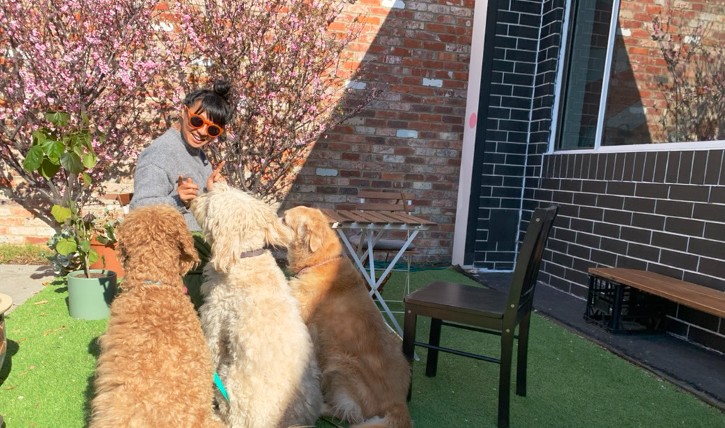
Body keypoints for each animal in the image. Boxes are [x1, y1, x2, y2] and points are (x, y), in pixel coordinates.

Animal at [189, 184, 322, 428]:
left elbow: (210, 350)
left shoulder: (215, 321)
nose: (194, 199)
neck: (247, 258)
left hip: (230, 380)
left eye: (211, 203)